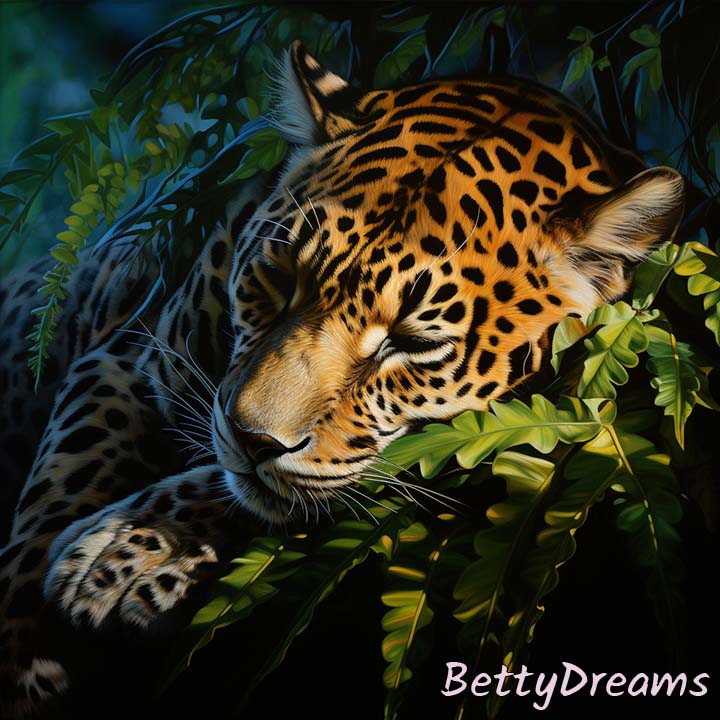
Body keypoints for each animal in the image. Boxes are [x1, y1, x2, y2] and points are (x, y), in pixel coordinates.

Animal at [0, 41, 684, 716]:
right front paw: (28, 652)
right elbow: (60, 484)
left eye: (414, 344)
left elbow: (279, 493)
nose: (252, 441)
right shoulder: (129, 360)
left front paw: (126, 551)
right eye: (278, 276)